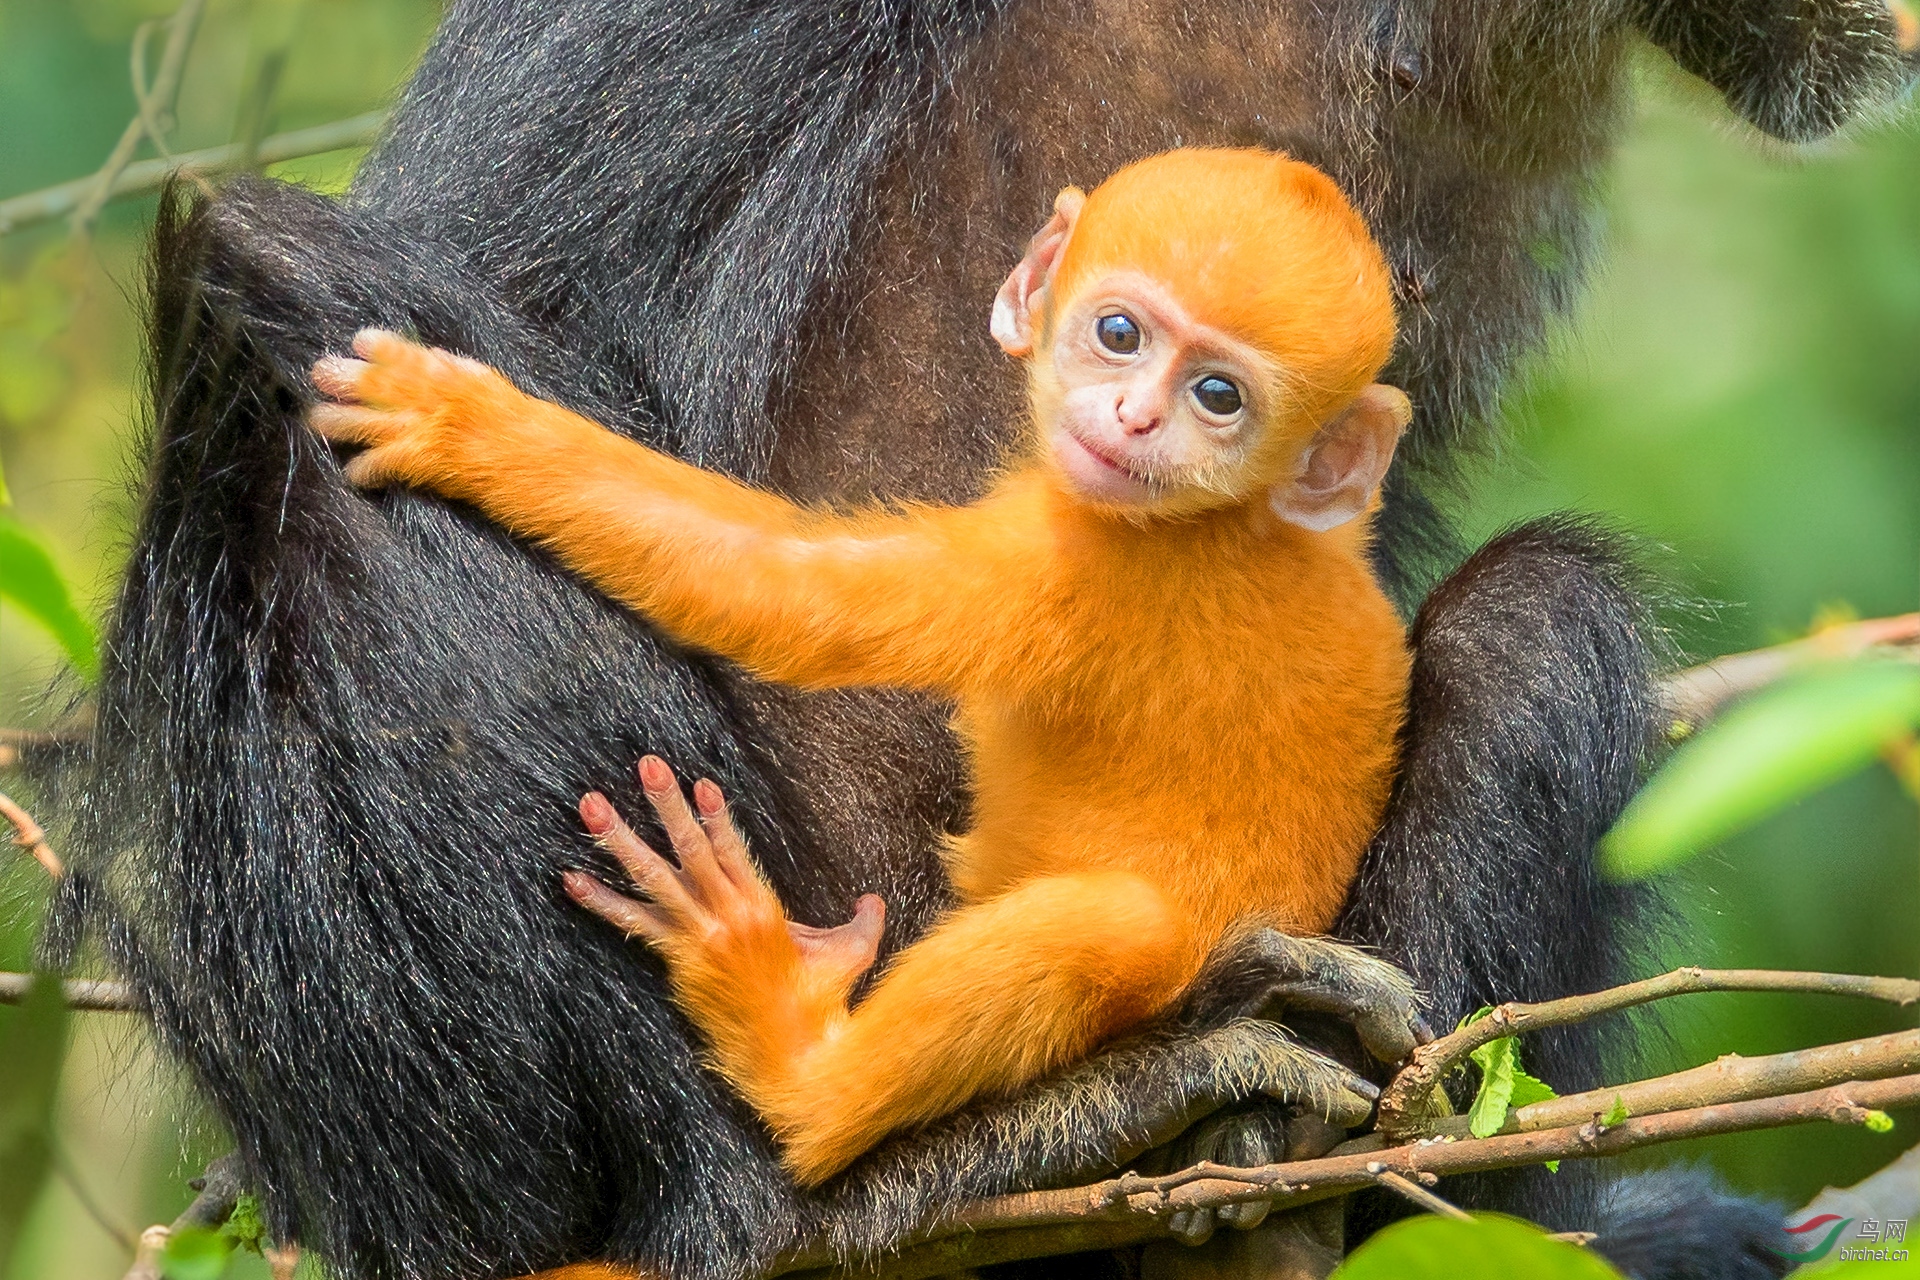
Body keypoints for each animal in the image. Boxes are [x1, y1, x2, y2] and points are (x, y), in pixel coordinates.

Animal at [311, 150, 1413, 1189]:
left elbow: (794, 596)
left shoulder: (1083, 566)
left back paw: (791, 1048)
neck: (1239, 516)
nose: (1135, 418)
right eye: (1120, 334)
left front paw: (468, 427)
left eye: (1218, 396)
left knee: (1115, 926)